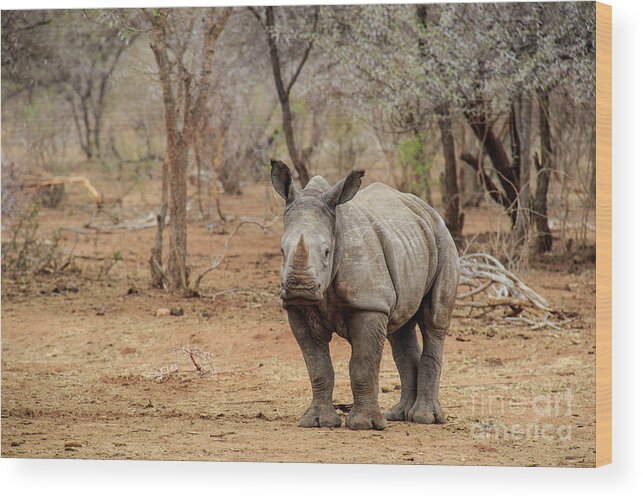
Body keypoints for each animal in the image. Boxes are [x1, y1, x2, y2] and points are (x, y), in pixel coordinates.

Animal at [270, 159, 458, 430]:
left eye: (327, 252)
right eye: (281, 251)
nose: (299, 289)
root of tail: (427, 208)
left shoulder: (369, 303)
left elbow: (362, 364)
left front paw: (363, 424)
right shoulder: (297, 309)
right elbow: (317, 367)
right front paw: (317, 421)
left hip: (443, 237)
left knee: (434, 320)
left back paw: (425, 418)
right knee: (401, 327)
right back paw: (399, 414)